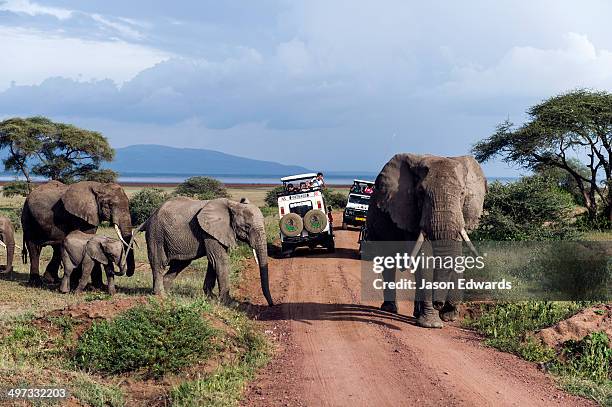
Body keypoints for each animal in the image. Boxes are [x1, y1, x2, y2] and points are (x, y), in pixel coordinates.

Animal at [141, 197, 272, 306]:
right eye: (246, 227)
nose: (271, 305)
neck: (233, 205)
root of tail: (149, 218)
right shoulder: (210, 230)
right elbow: (220, 260)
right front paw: (229, 303)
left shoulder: (217, 232)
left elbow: (213, 261)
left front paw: (211, 298)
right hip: (156, 233)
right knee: (158, 263)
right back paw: (161, 296)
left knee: (179, 264)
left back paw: (168, 294)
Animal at [364, 153, 488, 328]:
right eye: (421, 193)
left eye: (463, 193)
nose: (439, 305)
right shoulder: (408, 211)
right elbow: (425, 258)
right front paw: (432, 324)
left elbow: (455, 253)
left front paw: (448, 317)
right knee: (388, 262)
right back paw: (390, 309)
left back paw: (416, 313)